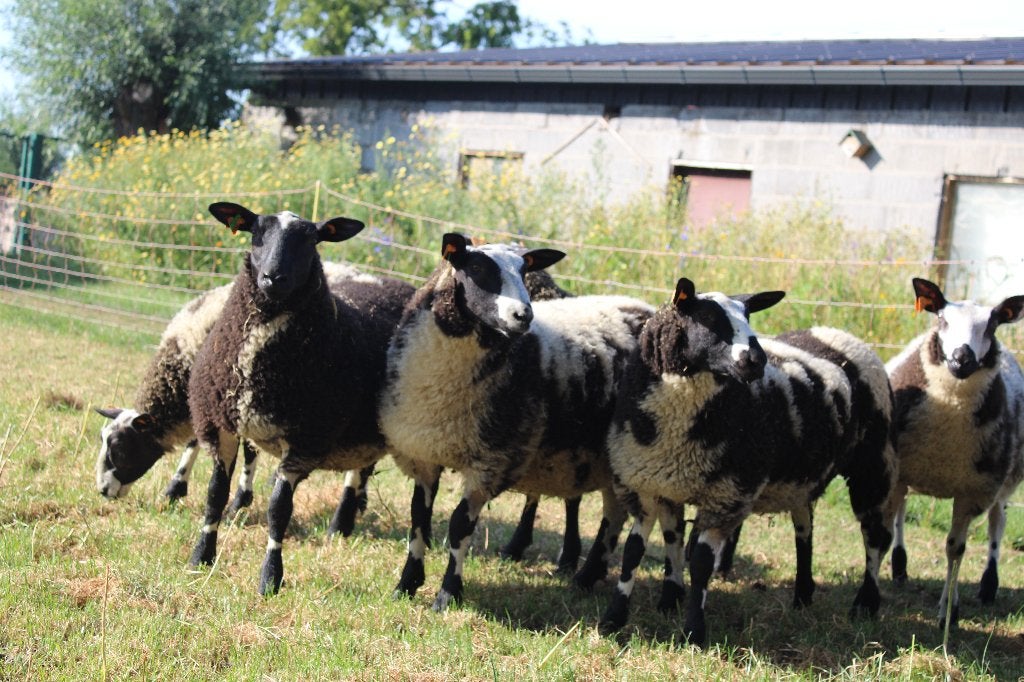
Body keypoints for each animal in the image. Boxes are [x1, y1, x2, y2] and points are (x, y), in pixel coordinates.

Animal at [186, 202, 415, 594]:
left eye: (311, 239)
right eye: (256, 232)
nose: (273, 278)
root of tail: (396, 282)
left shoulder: (305, 440)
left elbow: (279, 510)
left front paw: (270, 577)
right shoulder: (219, 425)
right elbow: (214, 495)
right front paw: (201, 556)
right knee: (362, 468)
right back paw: (341, 526)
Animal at [381, 233, 655, 611]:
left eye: (525, 271)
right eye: (477, 268)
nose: (523, 315)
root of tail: (647, 308)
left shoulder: (492, 460)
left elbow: (458, 528)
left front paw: (448, 594)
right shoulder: (422, 454)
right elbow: (418, 521)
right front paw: (406, 585)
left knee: (618, 515)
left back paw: (586, 576)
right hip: (609, 458)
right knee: (614, 515)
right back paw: (585, 578)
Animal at [599, 277, 897, 646]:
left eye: (749, 316)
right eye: (708, 319)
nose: (756, 360)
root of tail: (837, 333)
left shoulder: (724, 496)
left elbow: (700, 563)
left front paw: (694, 630)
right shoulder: (648, 484)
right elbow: (638, 551)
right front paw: (619, 618)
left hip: (873, 463)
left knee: (875, 537)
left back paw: (865, 604)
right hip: (803, 480)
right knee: (804, 528)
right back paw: (803, 595)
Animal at [886, 277, 1024, 629]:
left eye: (992, 325)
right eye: (942, 320)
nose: (963, 358)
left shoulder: (973, 491)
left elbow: (956, 549)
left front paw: (949, 612)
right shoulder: (897, 473)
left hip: (1004, 481)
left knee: (997, 522)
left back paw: (989, 584)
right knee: (901, 512)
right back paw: (899, 565)